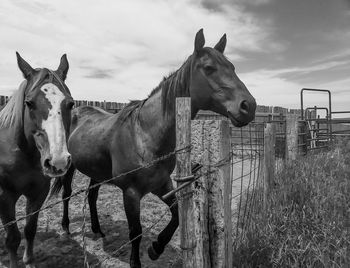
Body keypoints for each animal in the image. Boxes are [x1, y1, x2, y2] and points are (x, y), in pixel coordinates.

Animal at [0, 53, 74, 266]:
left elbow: (29, 230)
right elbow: (12, 238)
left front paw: (29, 260)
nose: (57, 161)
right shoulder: (4, 197)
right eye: (29, 103)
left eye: (71, 103)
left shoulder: (38, 192)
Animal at [50, 29, 256, 268]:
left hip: (97, 172)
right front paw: (137, 261)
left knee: (91, 196)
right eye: (209, 68)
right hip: (69, 168)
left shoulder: (162, 184)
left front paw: (156, 248)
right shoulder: (131, 194)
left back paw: (97, 230)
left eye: (232, 67)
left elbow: (176, 215)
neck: (145, 135)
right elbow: (135, 232)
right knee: (67, 194)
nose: (249, 106)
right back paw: (66, 227)